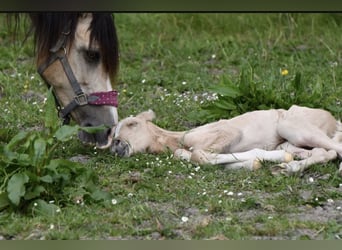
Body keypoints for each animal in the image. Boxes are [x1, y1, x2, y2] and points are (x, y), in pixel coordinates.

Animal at [111, 105, 342, 174]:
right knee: (323, 152)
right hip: (291, 140)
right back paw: (290, 167)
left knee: (335, 148)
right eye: (113, 135)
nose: (116, 145)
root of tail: (333, 119)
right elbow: (184, 154)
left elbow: (198, 155)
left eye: (132, 124)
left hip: (292, 126)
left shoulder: (229, 131)